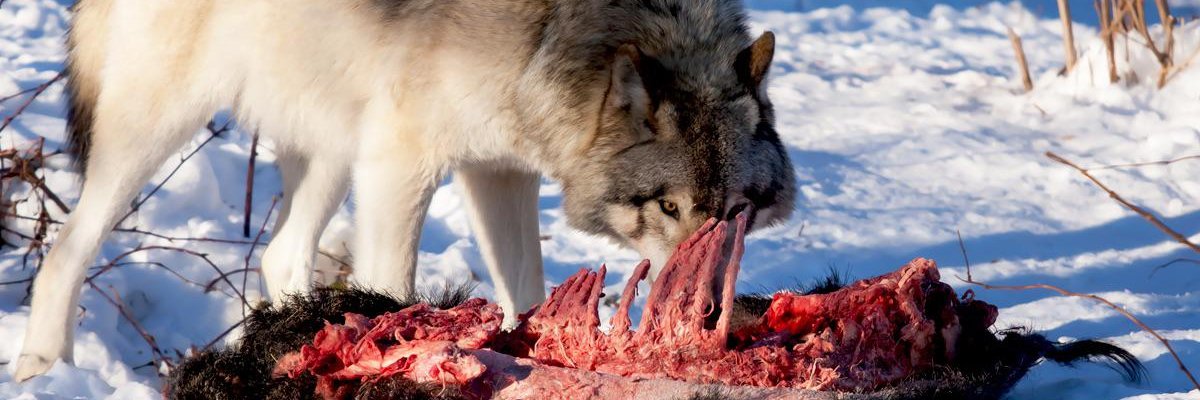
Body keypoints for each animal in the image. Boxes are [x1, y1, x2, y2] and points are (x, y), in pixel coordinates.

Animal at [14, 0, 796, 381]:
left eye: (734, 215)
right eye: (668, 208)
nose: (708, 317)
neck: (557, 36)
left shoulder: (499, 168)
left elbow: (527, 291)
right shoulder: (403, 160)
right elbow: (391, 289)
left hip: (331, 143)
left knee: (280, 255)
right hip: (156, 130)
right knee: (66, 250)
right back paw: (42, 367)